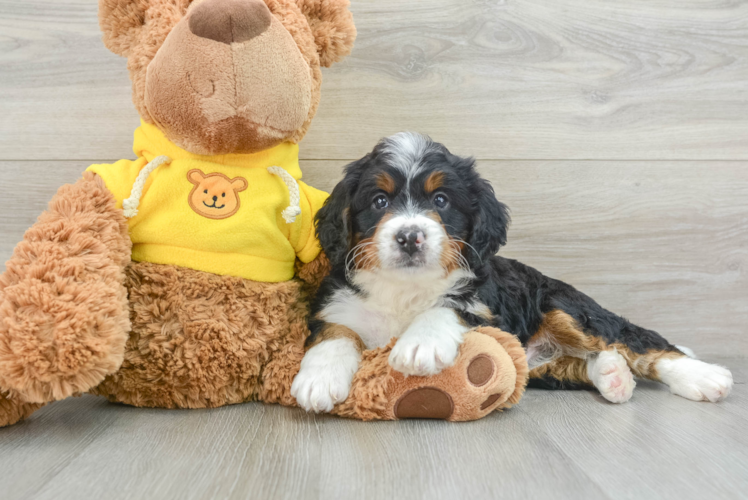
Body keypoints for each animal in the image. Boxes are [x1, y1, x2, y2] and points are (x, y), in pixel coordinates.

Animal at [290, 131, 732, 412]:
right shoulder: (336, 303)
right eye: (379, 201)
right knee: (579, 363)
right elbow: (334, 334)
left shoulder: (487, 304)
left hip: (564, 305)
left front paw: (419, 346)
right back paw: (612, 376)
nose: (410, 236)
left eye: (441, 199)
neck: (405, 289)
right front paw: (319, 379)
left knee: (638, 342)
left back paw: (702, 376)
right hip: (536, 363)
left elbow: (448, 306)